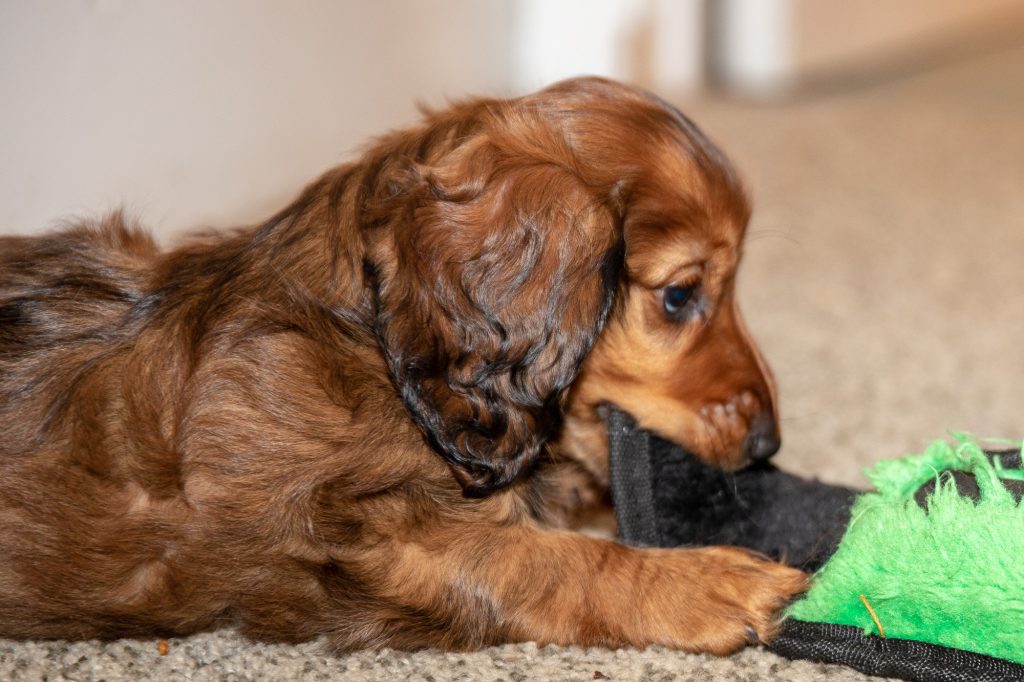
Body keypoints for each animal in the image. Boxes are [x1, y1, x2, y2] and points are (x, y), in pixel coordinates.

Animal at [0, 76, 802, 651]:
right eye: (680, 296)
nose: (768, 446)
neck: (366, 341)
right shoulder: (373, 545)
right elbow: (561, 562)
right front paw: (709, 582)